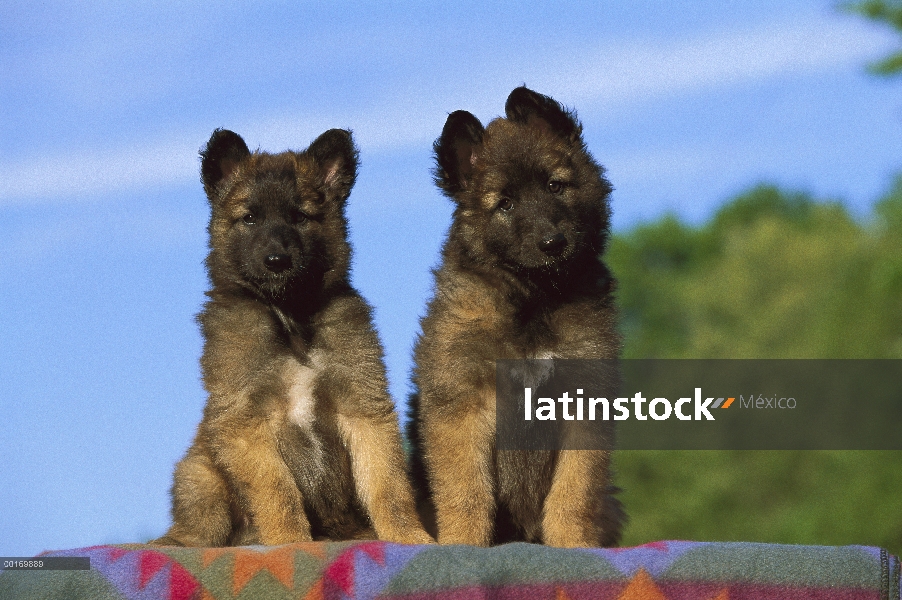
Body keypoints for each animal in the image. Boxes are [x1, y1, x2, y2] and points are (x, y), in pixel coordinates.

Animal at [154, 129, 432, 548]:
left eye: (300, 217)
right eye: (250, 218)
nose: (276, 261)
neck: (290, 317)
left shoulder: (362, 404)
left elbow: (388, 484)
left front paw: (409, 536)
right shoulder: (245, 420)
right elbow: (277, 490)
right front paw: (289, 540)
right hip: (201, 477)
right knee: (195, 528)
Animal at [414, 85, 624, 548]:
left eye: (555, 185)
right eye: (505, 204)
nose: (552, 243)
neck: (532, 300)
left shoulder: (585, 399)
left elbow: (574, 490)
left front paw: (573, 544)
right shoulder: (460, 401)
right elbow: (465, 489)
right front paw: (462, 543)